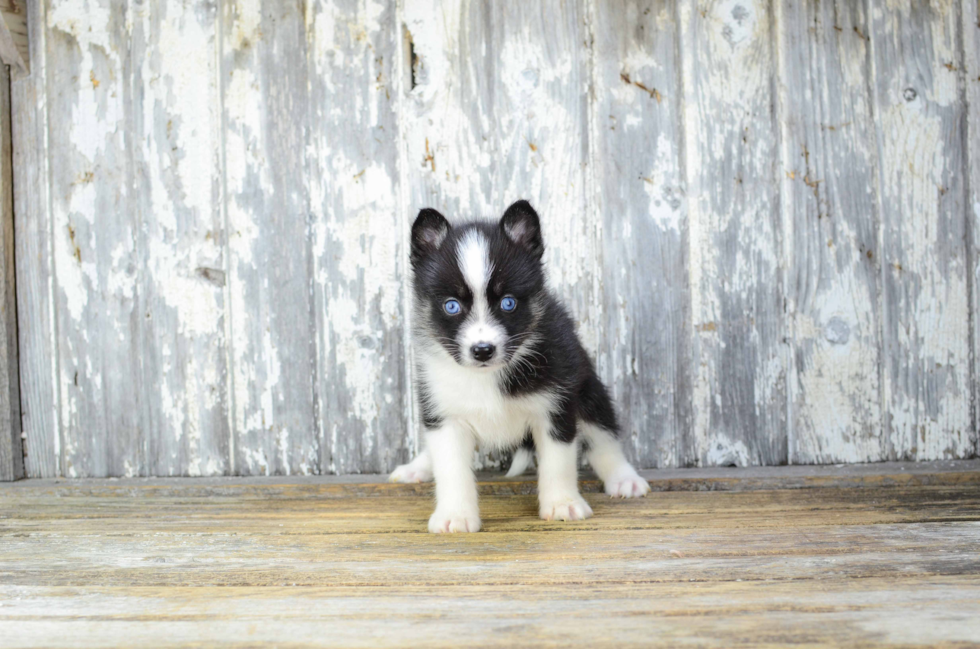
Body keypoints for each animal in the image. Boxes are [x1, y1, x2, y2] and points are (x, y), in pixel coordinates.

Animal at [388, 199, 652, 532]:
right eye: (451, 305)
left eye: (508, 303)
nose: (483, 351)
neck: (488, 376)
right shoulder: (444, 414)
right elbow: (451, 469)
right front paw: (454, 515)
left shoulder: (556, 406)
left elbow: (558, 462)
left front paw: (562, 503)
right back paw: (417, 467)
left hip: (590, 390)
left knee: (604, 437)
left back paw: (624, 479)